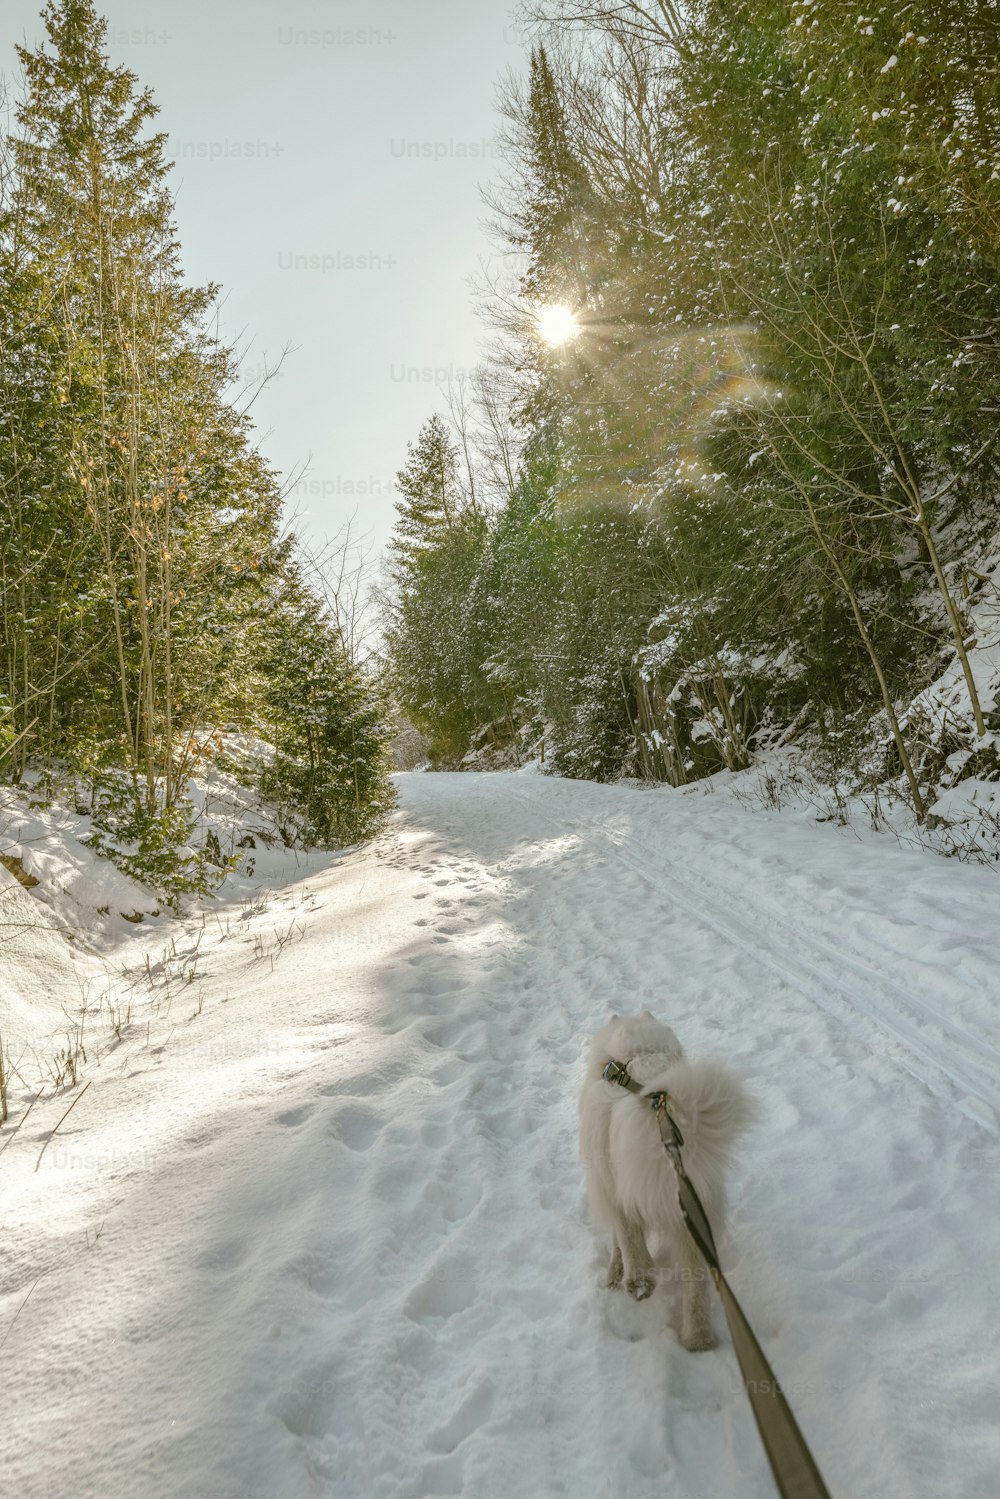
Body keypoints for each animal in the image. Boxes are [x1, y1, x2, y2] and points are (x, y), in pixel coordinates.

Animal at [578, 1013, 749, 1355]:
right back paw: (699, 1340)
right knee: (696, 1285)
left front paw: (616, 1273)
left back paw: (639, 1283)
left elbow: (621, 1237)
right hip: (695, 1220)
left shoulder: (608, 1185)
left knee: (632, 1237)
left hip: (626, 1188)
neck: (636, 1058)